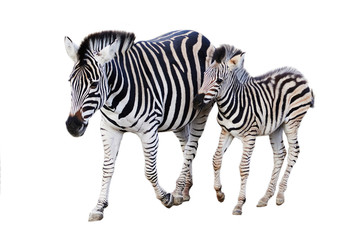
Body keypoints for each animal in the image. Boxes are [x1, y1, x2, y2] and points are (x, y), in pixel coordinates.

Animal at [64, 30, 214, 221]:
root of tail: (199, 34)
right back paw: (185, 189)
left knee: (191, 148)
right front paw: (99, 207)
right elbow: (107, 168)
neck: (113, 98)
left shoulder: (149, 131)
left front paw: (165, 198)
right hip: (179, 117)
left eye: (94, 84)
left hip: (203, 110)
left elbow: (149, 171)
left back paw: (177, 191)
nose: (72, 126)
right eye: (70, 81)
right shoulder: (109, 129)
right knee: (186, 145)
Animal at [193, 44, 314, 215]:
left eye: (219, 80)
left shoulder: (249, 137)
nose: (196, 101)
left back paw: (280, 195)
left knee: (294, 151)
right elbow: (216, 159)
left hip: (292, 121)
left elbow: (243, 168)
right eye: (203, 76)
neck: (232, 103)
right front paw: (219, 193)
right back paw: (266, 196)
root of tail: (299, 74)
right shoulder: (226, 132)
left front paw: (239, 203)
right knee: (279, 154)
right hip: (276, 126)